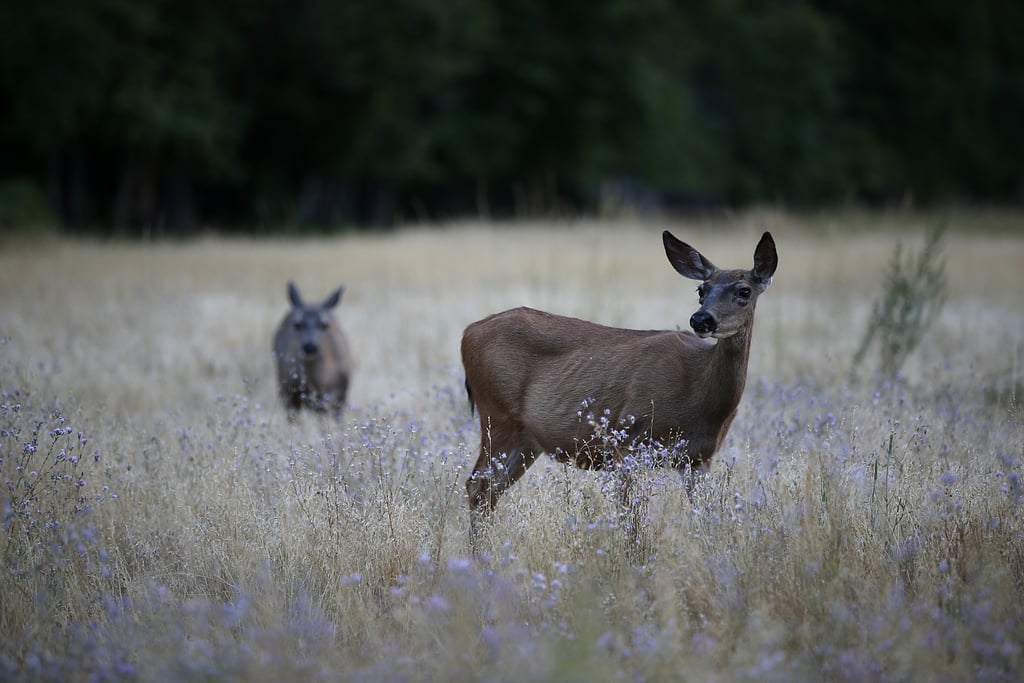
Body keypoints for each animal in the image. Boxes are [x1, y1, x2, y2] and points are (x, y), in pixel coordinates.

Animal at [462, 232, 774, 548]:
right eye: (701, 289)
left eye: (744, 291)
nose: (701, 319)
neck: (700, 397)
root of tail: (468, 332)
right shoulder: (627, 442)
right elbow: (631, 522)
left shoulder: (699, 459)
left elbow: (705, 516)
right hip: (496, 414)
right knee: (477, 486)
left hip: (526, 439)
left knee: (490, 490)